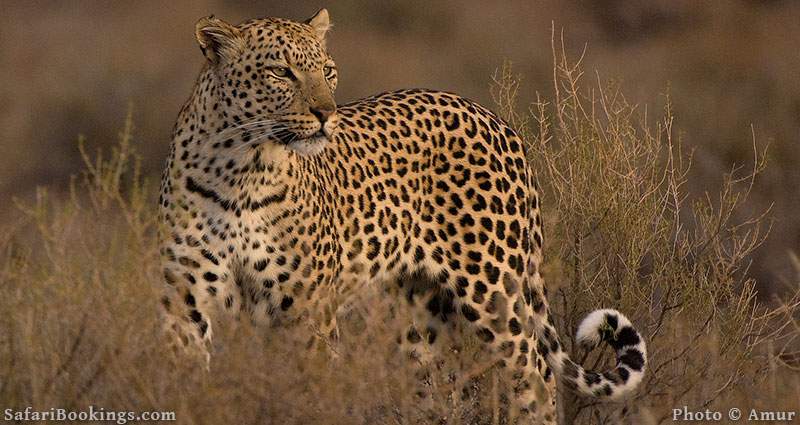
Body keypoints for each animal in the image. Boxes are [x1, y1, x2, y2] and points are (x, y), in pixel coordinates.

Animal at [159, 8, 648, 422]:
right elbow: (185, 384)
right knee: (441, 388)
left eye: (328, 71)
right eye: (281, 71)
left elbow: (309, 392)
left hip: (495, 292)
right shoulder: (186, 305)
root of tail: (494, 117)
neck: (241, 170)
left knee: (535, 374)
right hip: (417, 317)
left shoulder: (307, 312)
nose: (326, 114)